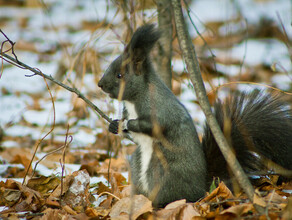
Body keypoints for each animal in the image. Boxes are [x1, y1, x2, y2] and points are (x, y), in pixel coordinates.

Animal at [98, 24, 292, 208]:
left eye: (119, 75)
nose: (100, 84)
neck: (134, 99)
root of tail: (202, 187)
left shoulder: (159, 108)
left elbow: (154, 126)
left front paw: (127, 124)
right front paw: (114, 125)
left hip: (162, 170)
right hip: (138, 165)